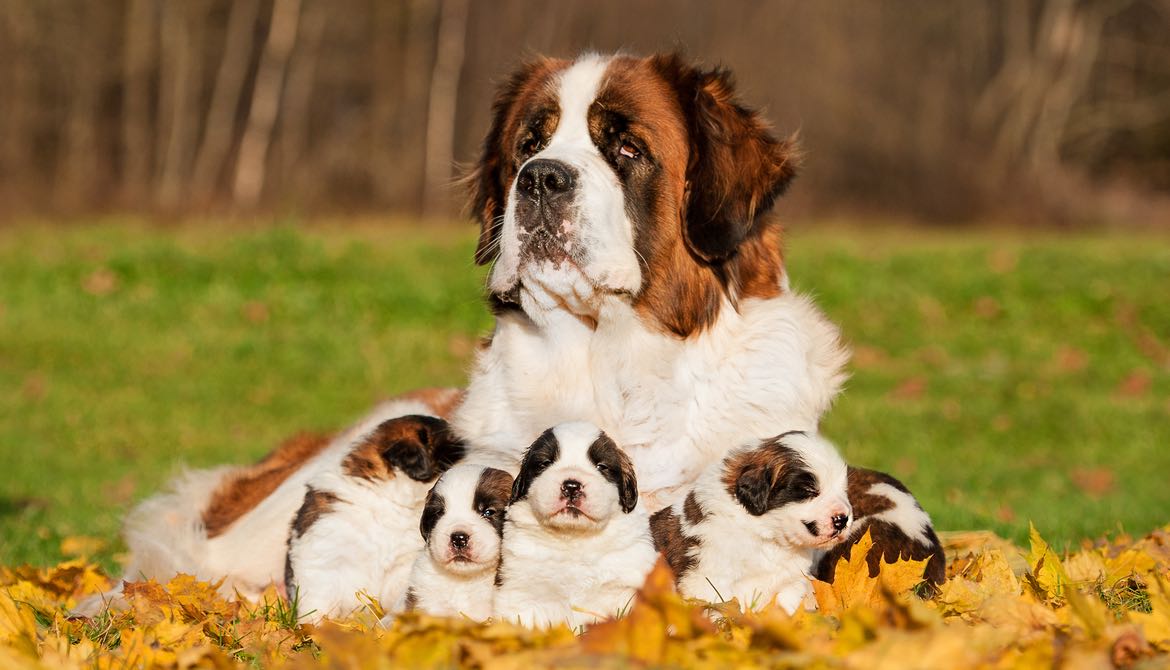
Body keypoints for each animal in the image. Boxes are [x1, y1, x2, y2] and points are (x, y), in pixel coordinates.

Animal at [285, 413, 463, 622]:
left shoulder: (402, 564)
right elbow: (318, 600)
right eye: (453, 448)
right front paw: (315, 627)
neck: (385, 499)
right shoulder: (322, 555)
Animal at [491, 420, 659, 631]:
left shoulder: (624, 586)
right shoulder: (523, 590)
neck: (574, 537)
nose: (571, 486)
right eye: (545, 463)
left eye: (601, 466)